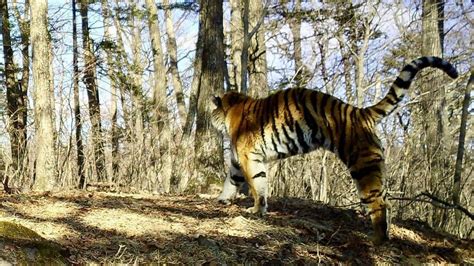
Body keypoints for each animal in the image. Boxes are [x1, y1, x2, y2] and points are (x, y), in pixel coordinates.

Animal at [211, 56, 460, 243]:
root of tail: (361, 112)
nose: (209, 119)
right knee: (386, 202)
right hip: (375, 167)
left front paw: (255, 210)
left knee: (378, 204)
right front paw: (223, 200)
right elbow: (232, 181)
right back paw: (385, 237)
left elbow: (256, 184)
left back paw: (376, 241)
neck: (232, 109)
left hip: (362, 166)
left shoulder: (248, 158)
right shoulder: (238, 160)